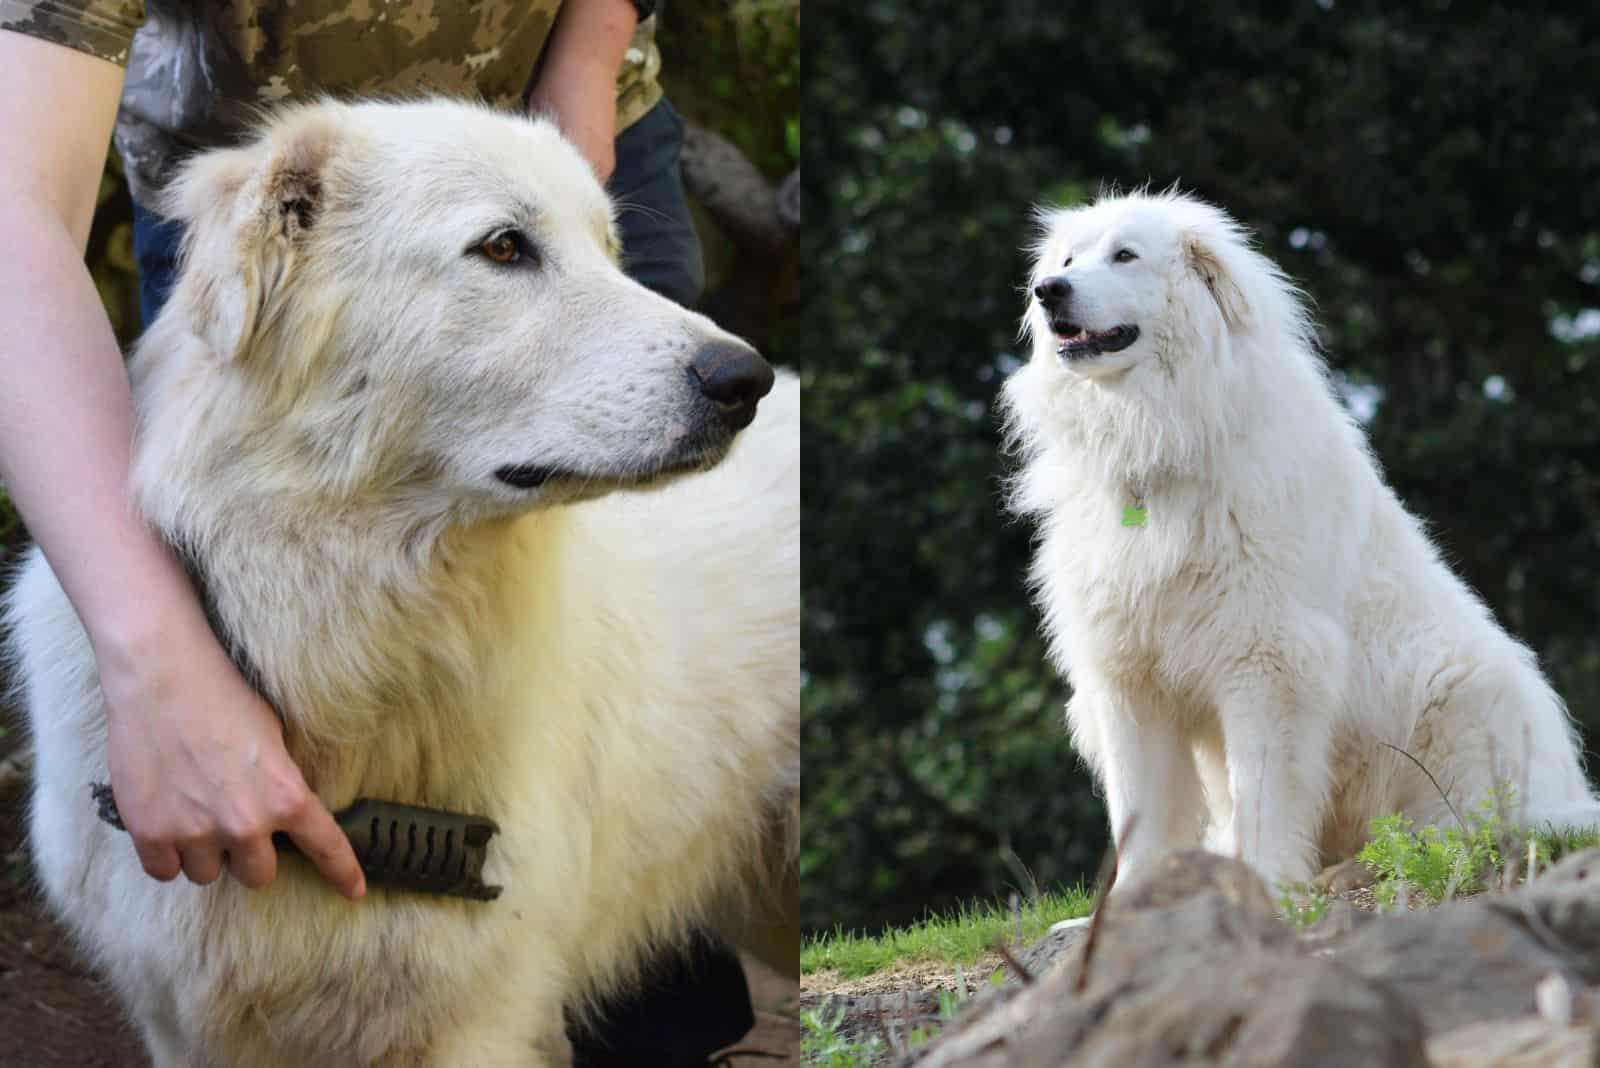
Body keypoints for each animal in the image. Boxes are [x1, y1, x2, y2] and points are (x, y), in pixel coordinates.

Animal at [1004, 191, 1593, 895]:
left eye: (1124, 256)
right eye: (1068, 260)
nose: (1047, 290)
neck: (1158, 436)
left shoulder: (1267, 661)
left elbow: (1263, 793)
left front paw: (1263, 885)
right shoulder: (1128, 676)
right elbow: (1140, 809)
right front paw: (1139, 901)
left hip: (1467, 694)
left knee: (1456, 834)